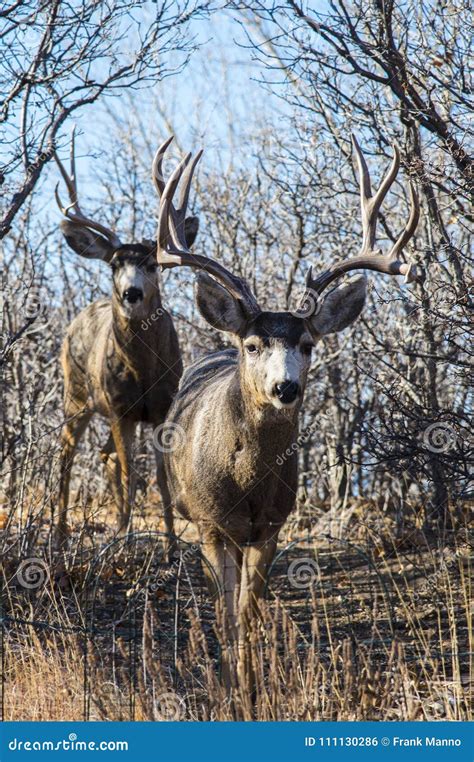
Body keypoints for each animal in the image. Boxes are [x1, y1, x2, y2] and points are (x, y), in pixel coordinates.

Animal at [54, 132, 199, 548]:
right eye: (115, 264)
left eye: (151, 264)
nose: (131, 294)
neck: (143, 371)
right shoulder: (121, 408)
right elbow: (133, 471)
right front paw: (125, 541)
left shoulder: (161, 407)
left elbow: (162, 478)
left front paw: (170, 545)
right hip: (76, 393)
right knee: (67, 455)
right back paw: (62, 533)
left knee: (105, 456)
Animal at [153, 135, 418, 696]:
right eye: (253, 344)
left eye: (308, 344)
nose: (285, 387)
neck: (246, 482)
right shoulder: (213, 524)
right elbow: (227, 613)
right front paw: (231, 688)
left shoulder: (271, 526)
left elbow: (250, 611)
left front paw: (252, 684)